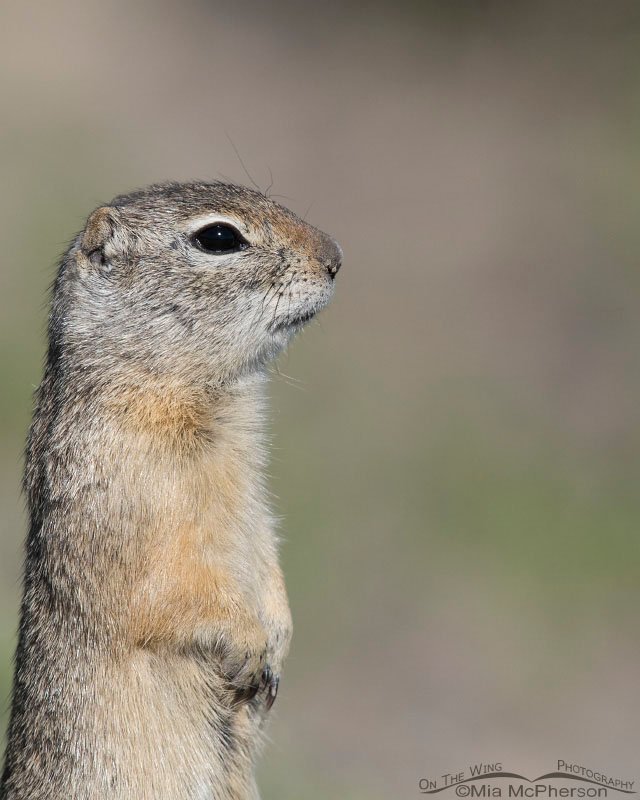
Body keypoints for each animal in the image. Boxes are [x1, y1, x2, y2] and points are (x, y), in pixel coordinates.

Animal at [0, 181, 341, 800]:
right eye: (219, 237)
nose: (336, 257)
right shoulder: (127, 490)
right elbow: (168, 584)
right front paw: (249, 645)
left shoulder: (255, 506)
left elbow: (266, 556)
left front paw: (277, 642)